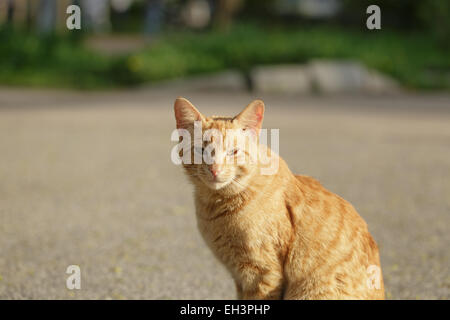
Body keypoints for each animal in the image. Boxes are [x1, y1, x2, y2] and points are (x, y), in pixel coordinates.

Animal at [172, 97, 384, 300]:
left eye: (233, 152)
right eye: (201, 150)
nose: (215, 169)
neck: (215, 204)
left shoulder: (261, 273)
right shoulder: (240, 277)